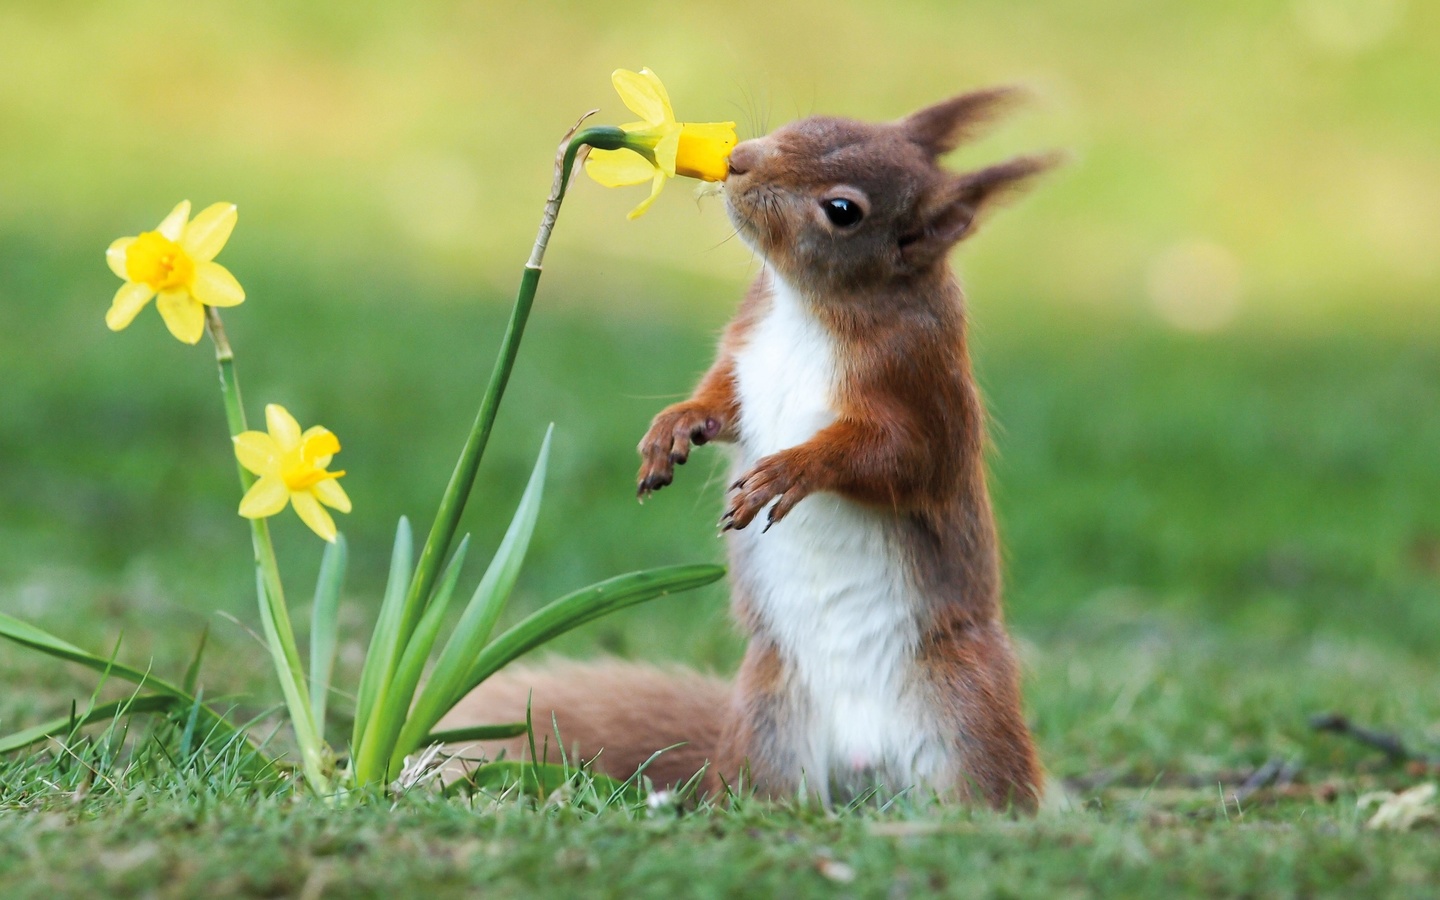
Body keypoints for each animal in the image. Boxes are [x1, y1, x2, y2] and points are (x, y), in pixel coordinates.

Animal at [437, 87, 1059, 812]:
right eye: (806, 123)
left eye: (842, 211)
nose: (738, 161)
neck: (806, 306)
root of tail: (865, 772)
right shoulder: (745, 348)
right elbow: (722, 406)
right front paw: (673, 429)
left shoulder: (922, 388)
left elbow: (897, 458)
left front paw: (788, 471)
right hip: (769, 722)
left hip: (968, 713)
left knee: (985, 786)